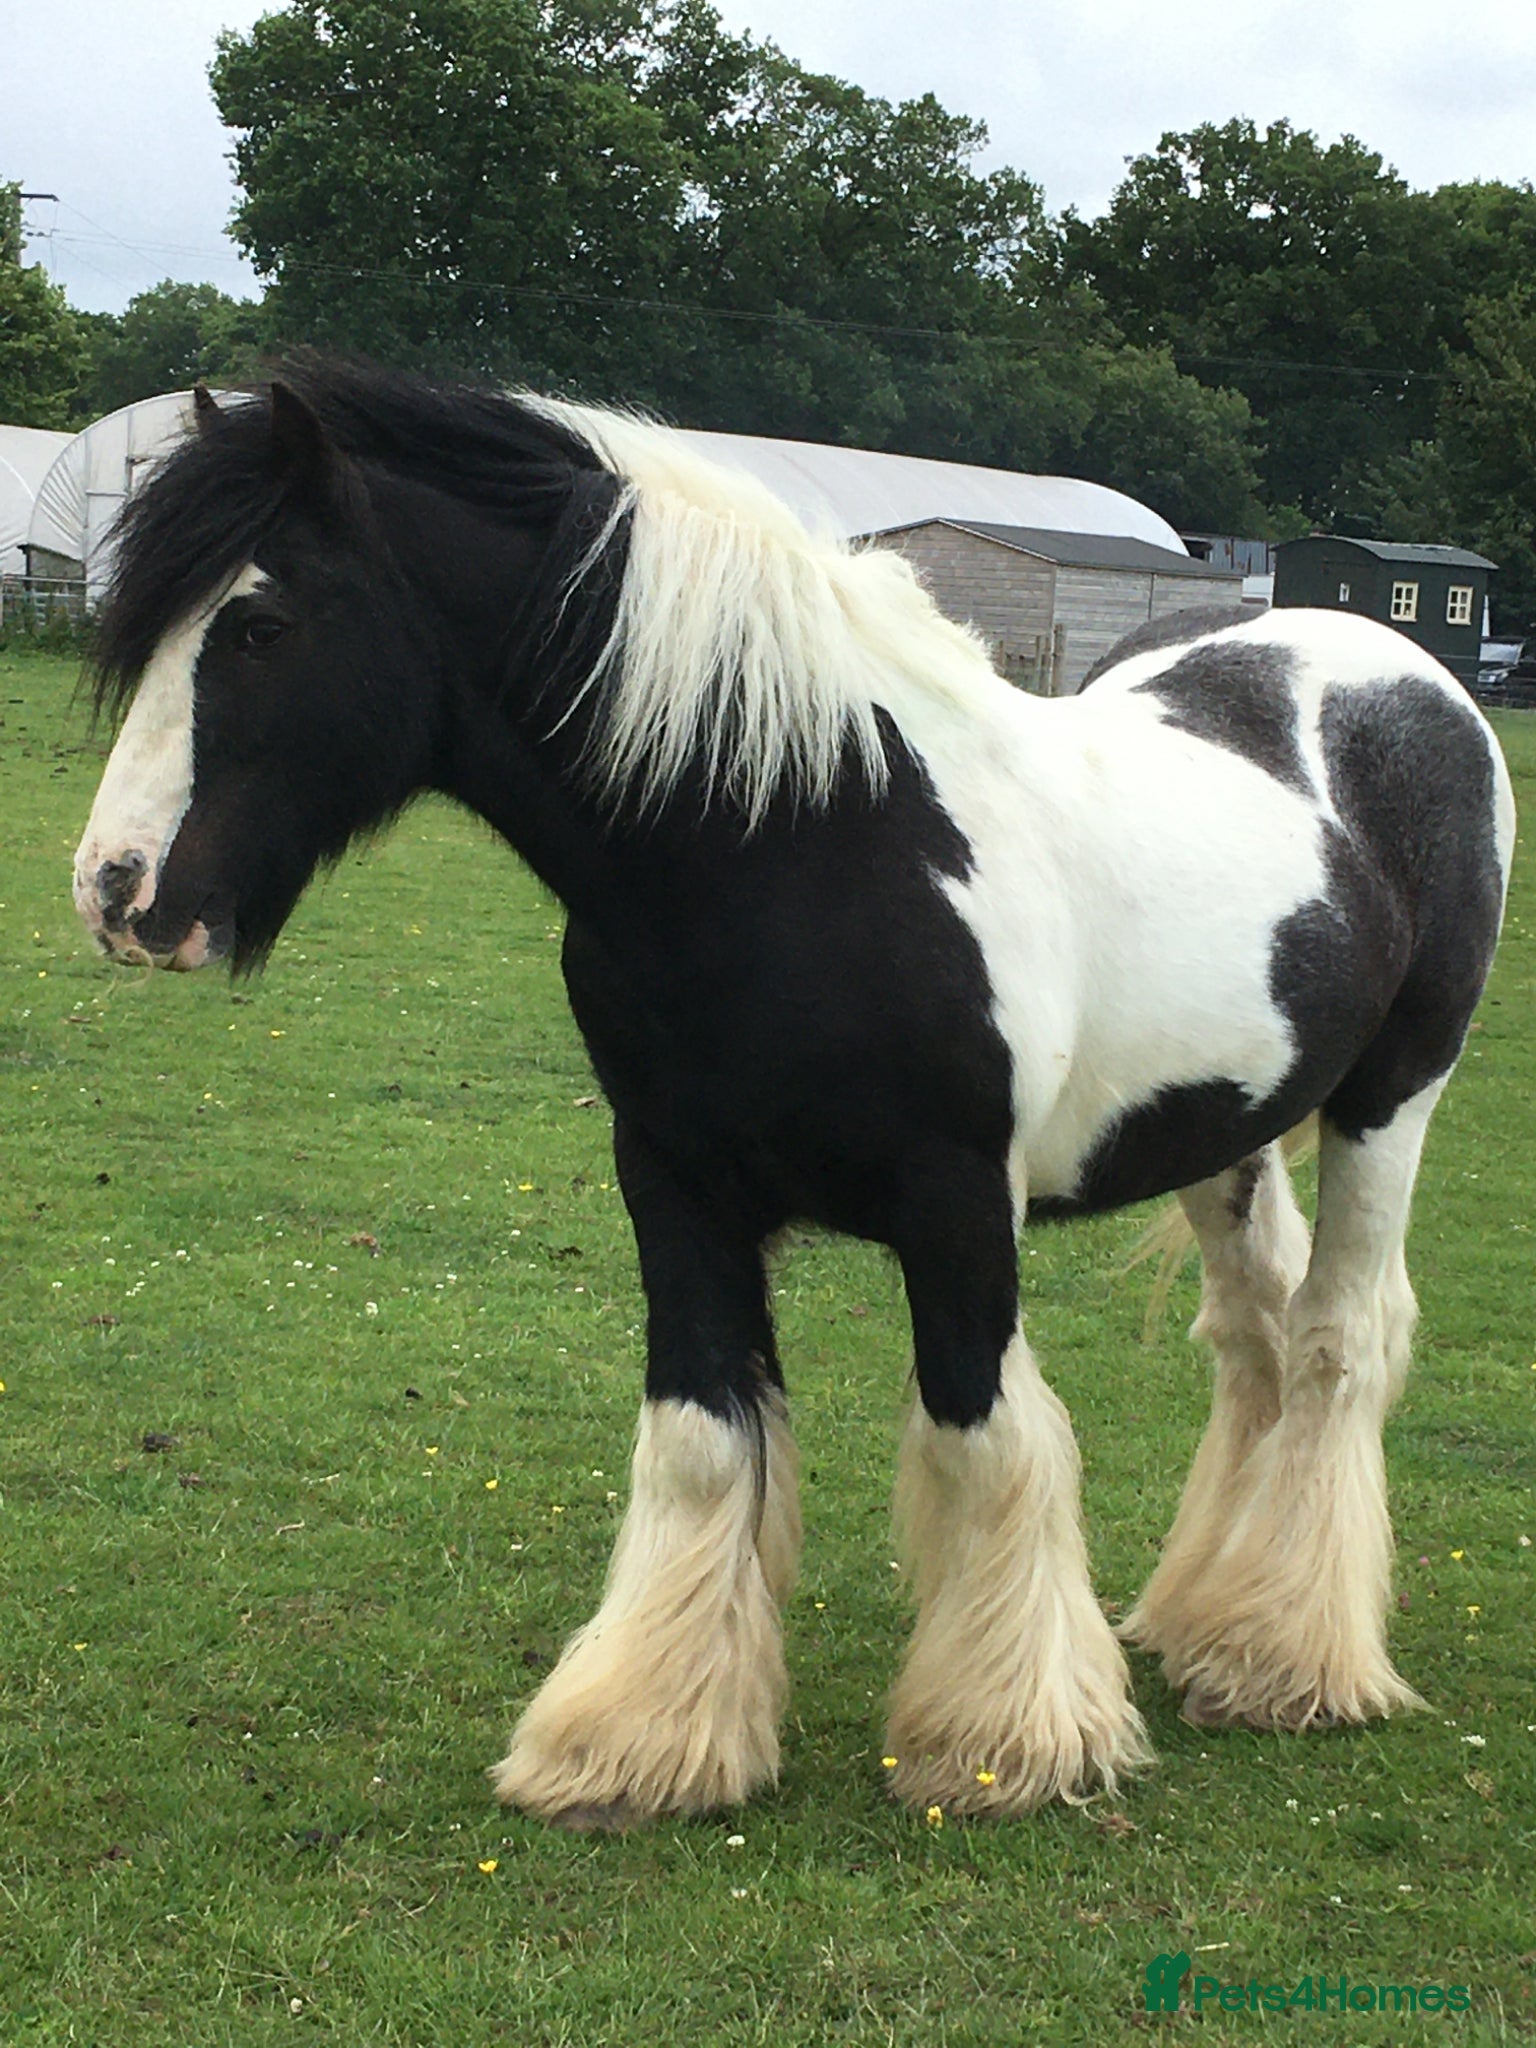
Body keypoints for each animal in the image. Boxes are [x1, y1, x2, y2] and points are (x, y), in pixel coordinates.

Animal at [74, 360, 1514, 1829]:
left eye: (259, 626)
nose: (119, 892)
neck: (805, 835)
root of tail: (1401, 672)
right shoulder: (674, 1185)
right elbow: (704, 1441)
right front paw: (638, 1743)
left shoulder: (956, 1203)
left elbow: (988, 1435)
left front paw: (1004, 1743)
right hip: (1230, 1128)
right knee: (1255, 1333)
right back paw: (1203, 1621)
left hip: (1393, 1097)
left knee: (1336, 1338)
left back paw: (1286, 1660)